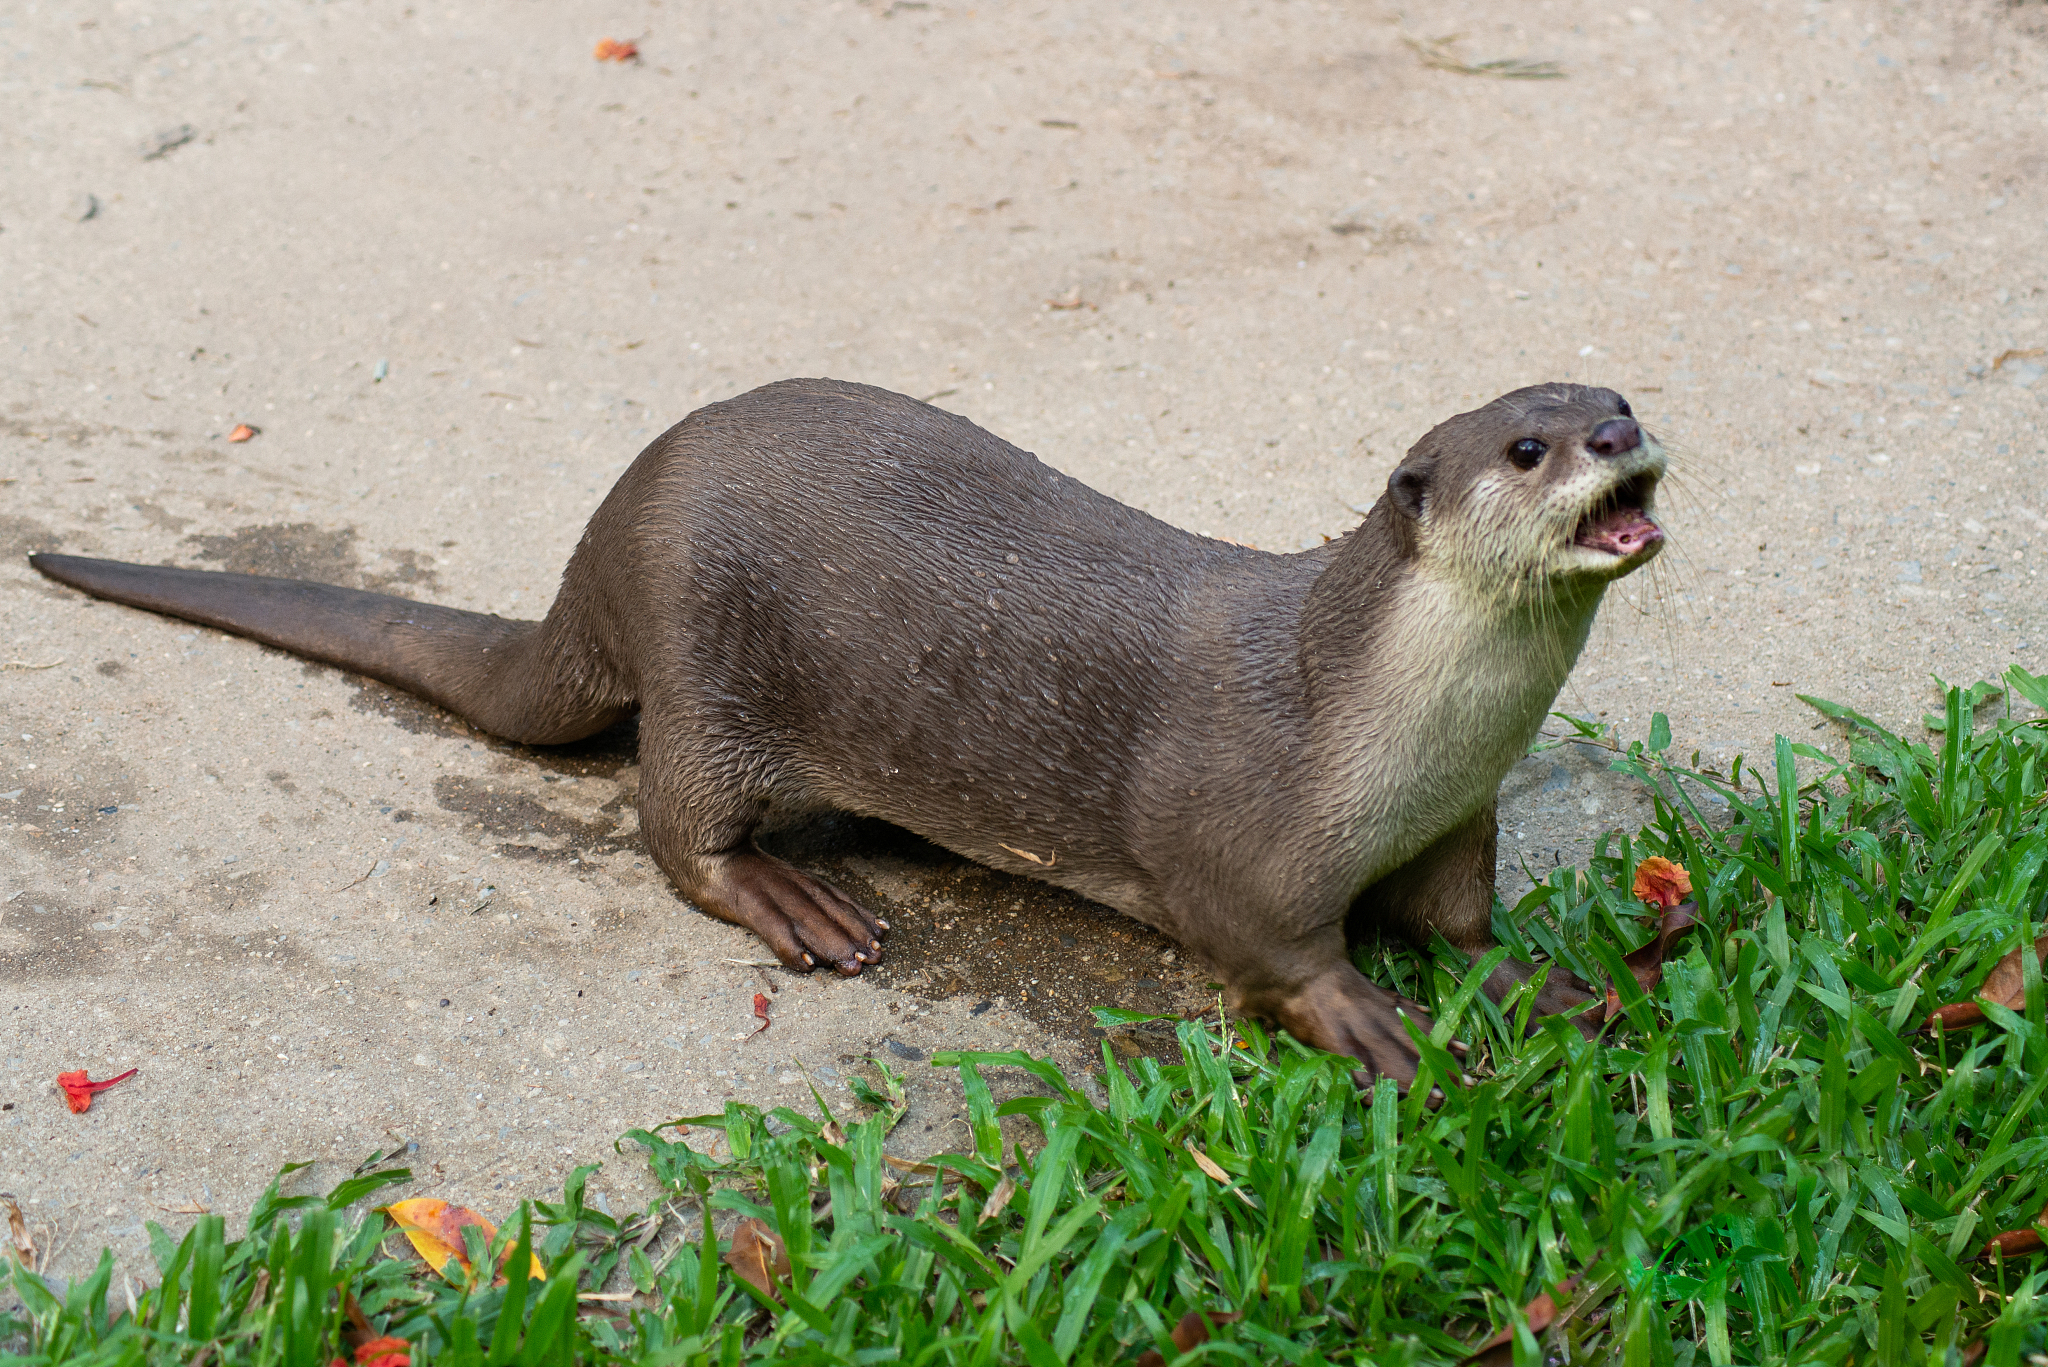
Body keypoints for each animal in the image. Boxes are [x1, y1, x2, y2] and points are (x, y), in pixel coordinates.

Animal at [30, 377, 1664, 1083]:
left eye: (1616, 392)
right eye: (1526, 446)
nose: (1619, 436)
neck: (1381, 724)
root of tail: (604, 536)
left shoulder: (1453, 822)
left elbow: (1461, 924)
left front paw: (1538, 979)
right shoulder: (1245, 836)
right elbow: (1269, 953)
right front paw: (1371, 1021)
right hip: (703, 660)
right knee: (673, 824)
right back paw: (796, 898)